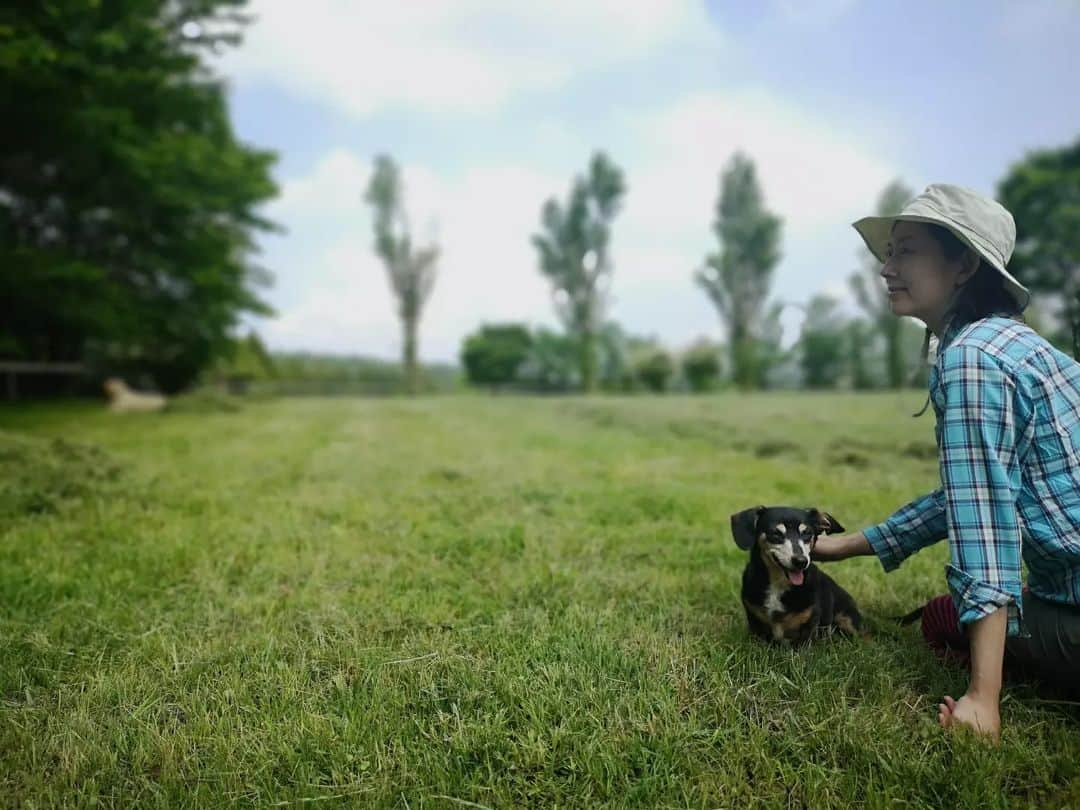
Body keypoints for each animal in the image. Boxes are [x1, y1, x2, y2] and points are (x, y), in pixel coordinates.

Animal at [730, 507, 864, 648]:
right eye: (776, 533)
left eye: (807, 533)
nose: (801, 561)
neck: (779, 583)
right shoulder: (755, 621)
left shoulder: (808, 627)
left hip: (847, 619)